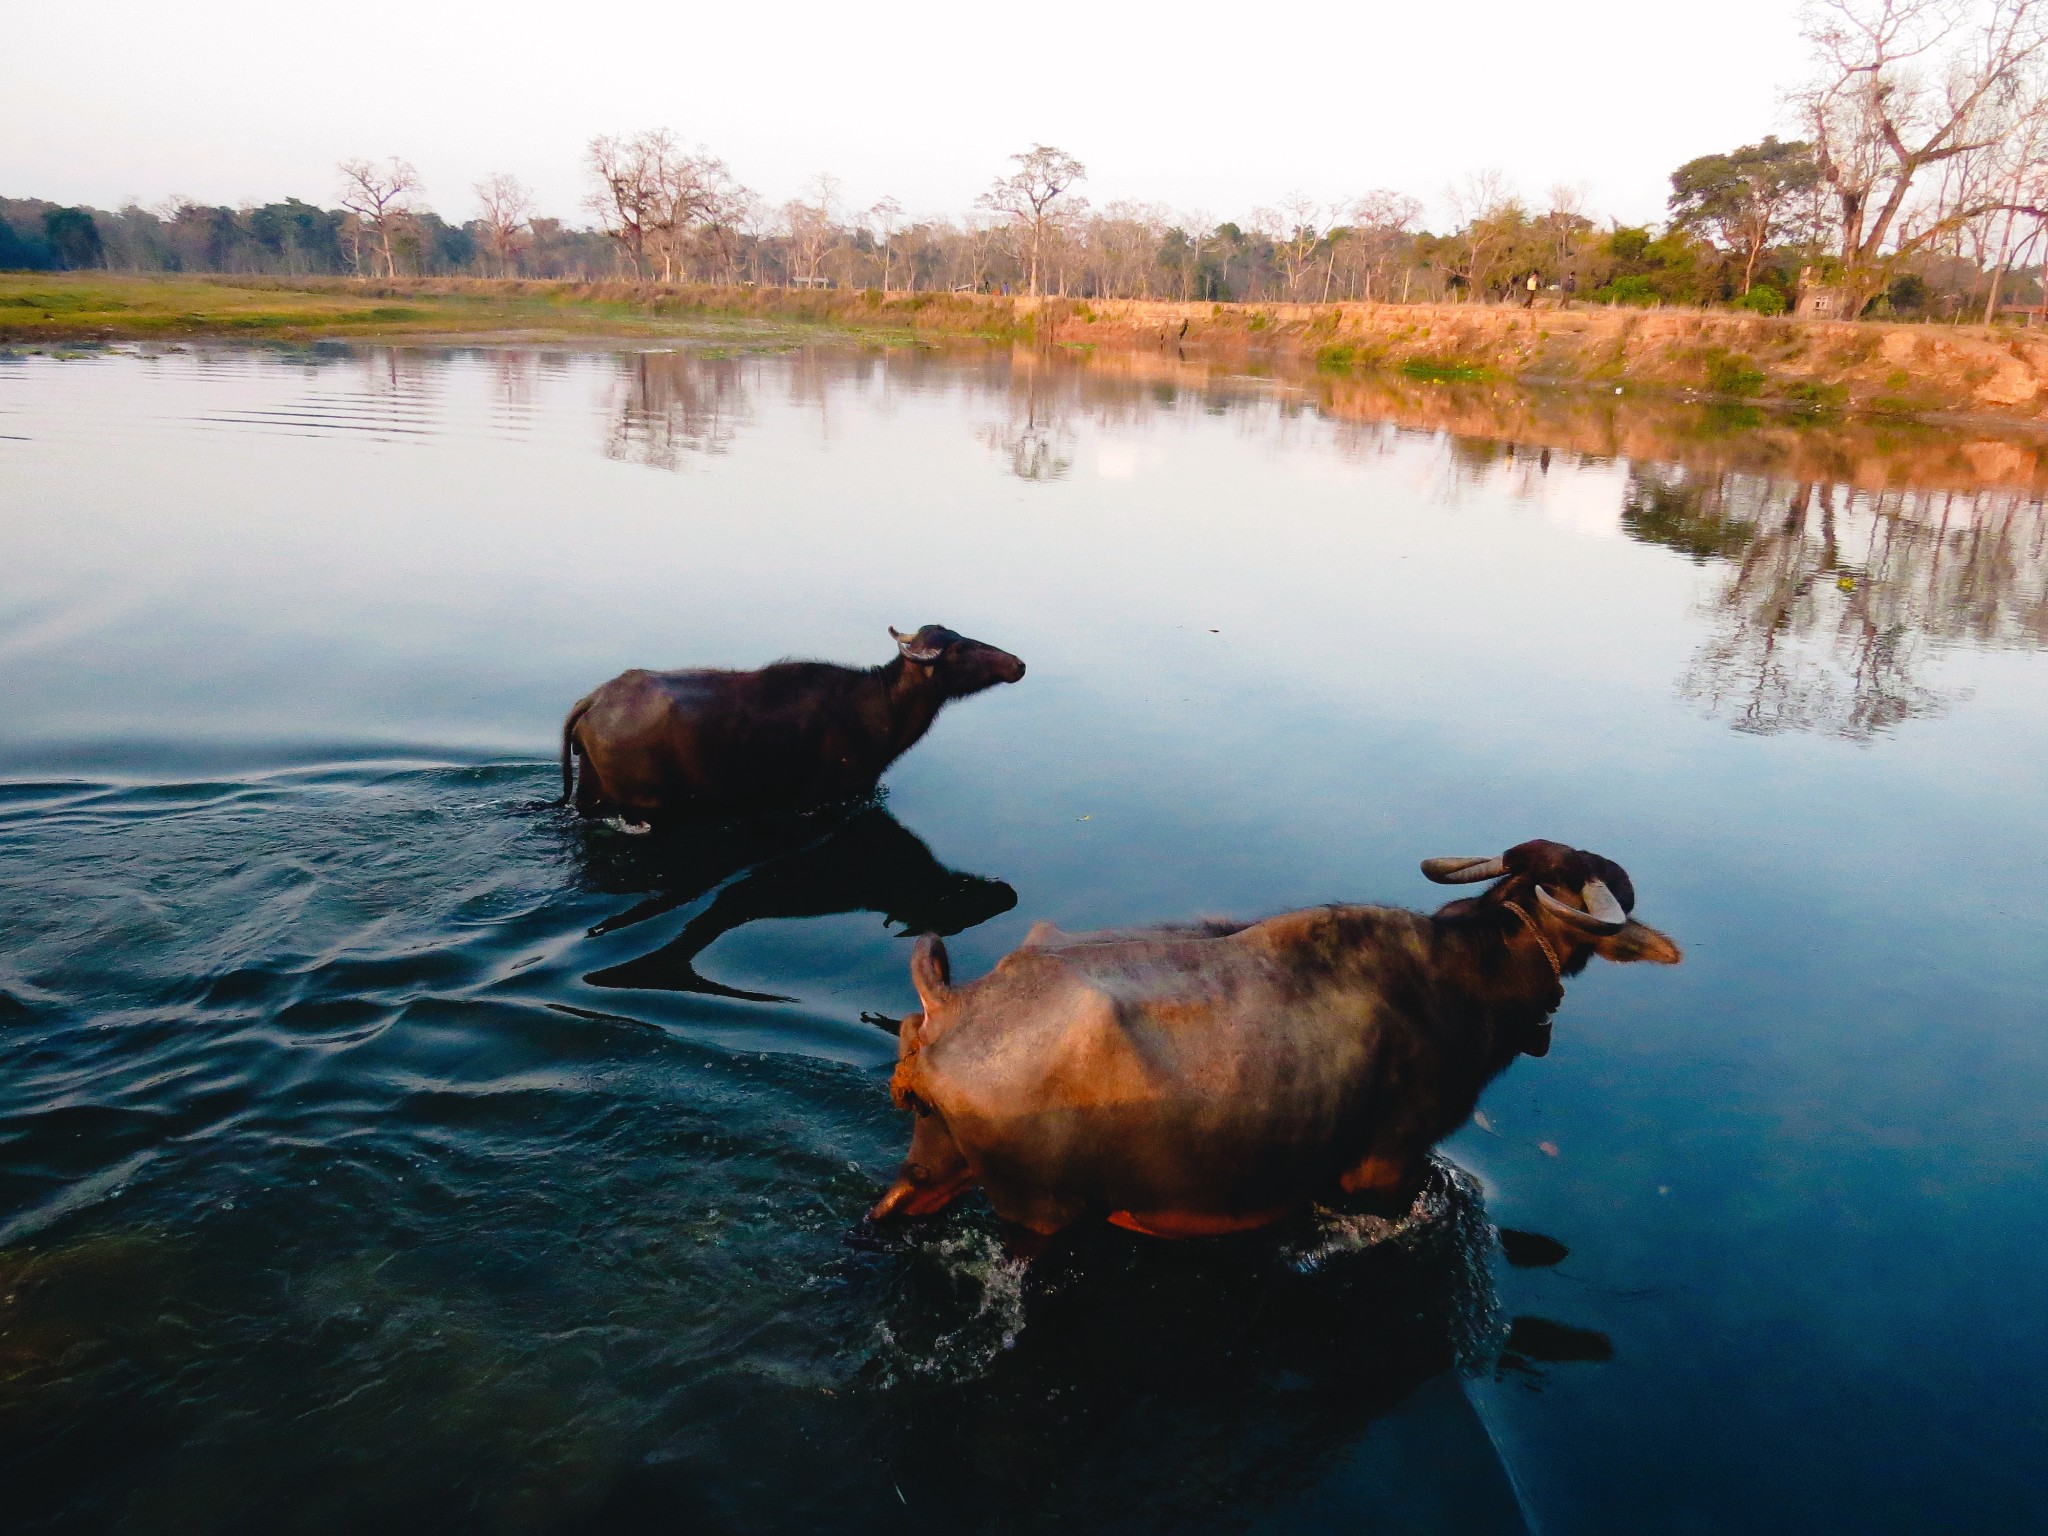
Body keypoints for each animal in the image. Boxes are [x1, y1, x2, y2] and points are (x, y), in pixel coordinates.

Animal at [557, 626, 1024, 823]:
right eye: (958, 650)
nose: (1018, 663)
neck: (880, 708)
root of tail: (593, 699)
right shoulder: (829, 796)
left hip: (590, 788)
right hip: (644, 799)